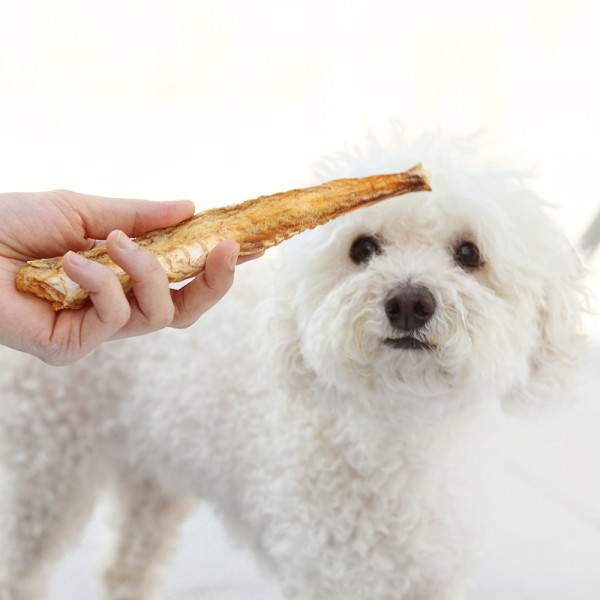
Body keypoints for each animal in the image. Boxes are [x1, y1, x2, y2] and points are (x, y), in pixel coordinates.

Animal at [0, 138, 584, 596]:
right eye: (363, 248)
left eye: (468, 254)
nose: (409, 303)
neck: (399, 428)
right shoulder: (329, 572)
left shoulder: (432, 575)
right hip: (46, 473)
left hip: (153, 472)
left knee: (127, 569)